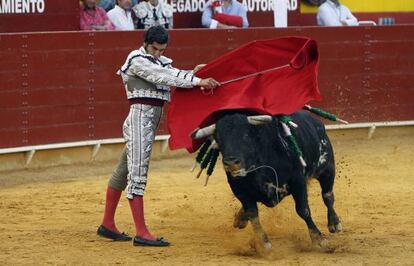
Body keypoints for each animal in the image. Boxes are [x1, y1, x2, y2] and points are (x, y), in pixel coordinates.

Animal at [192, 111, 342, 250]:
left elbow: (303, 210)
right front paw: (263, 243)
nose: (231, 163)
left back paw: (334, 223)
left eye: (245, 135)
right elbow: (253, 215)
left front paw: (318, 239)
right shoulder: (240, 191)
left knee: (328, 196)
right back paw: (240, 219)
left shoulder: (298, 182)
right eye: (219, 139)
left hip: (327, 169)